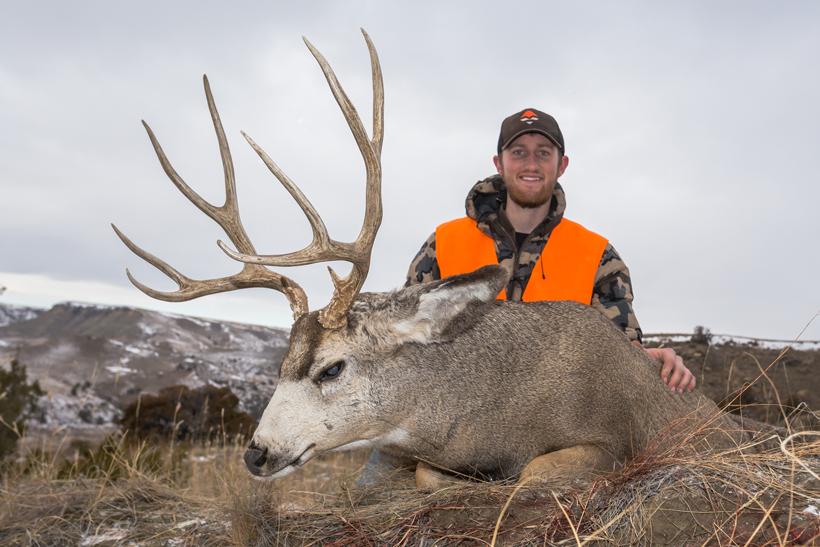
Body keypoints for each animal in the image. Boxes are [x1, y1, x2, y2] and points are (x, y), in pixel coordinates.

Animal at [114, 30, 751, 489]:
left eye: (332, 368)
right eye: (279, 364)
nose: (257, 454)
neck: (492, 407)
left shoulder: (610, 442)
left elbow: (530, 474)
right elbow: (425, 474)